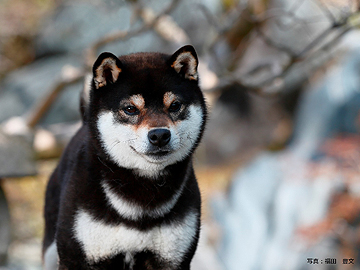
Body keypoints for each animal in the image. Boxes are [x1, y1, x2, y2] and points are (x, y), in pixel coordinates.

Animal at [41, 45, 208, 268]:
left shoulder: (171, 259)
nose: (159, 135)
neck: (143, 194)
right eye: (130, 109)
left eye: (174, 105)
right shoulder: (77, 257)